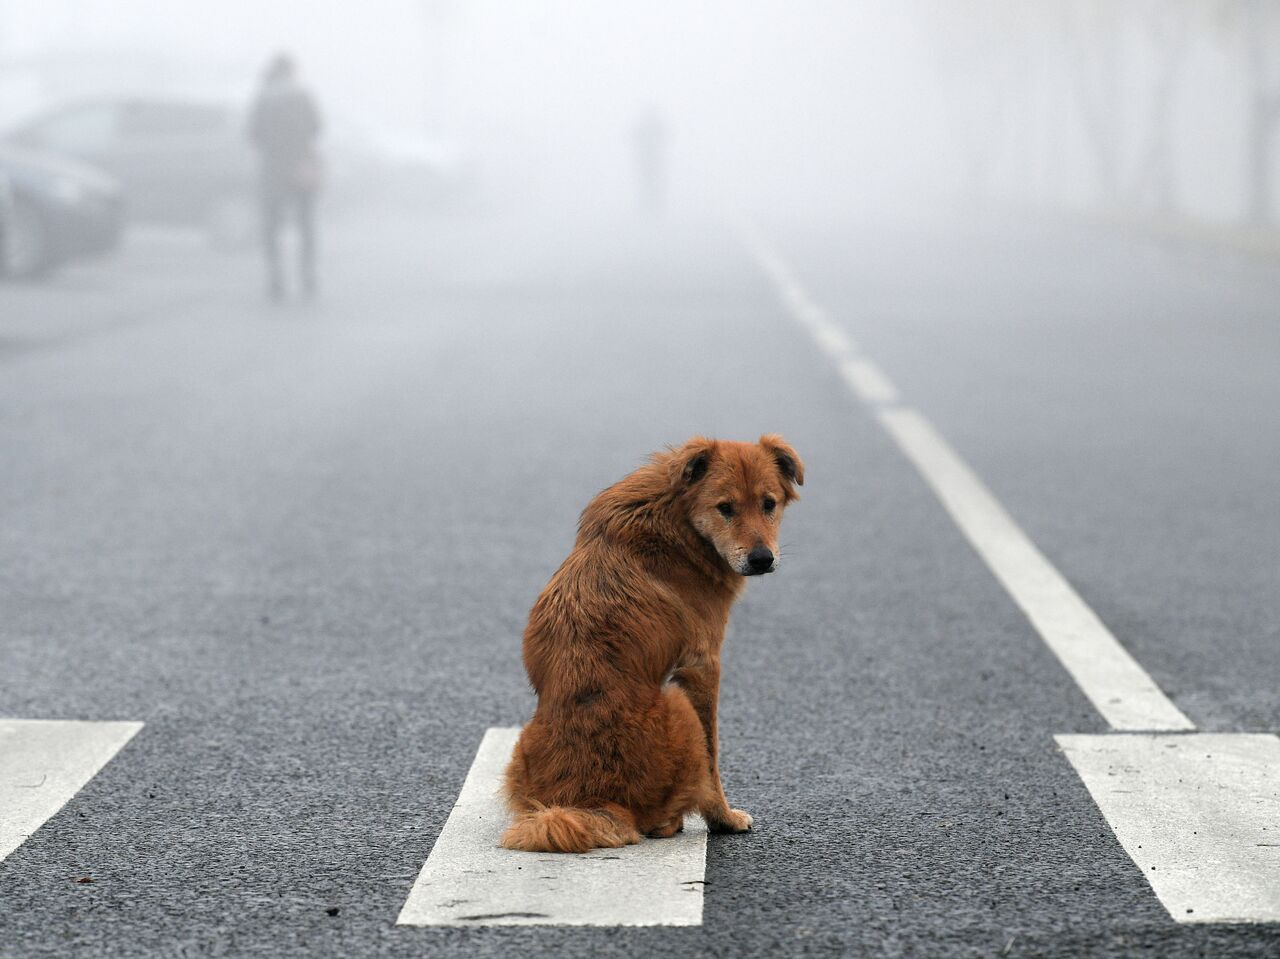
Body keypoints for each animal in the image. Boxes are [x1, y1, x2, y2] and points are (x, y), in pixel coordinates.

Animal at [499, 432, 798, 855]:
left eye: (769, 504)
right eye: (725, 508)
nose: (761, 559)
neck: (677, 518)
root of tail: (593, 800)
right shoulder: (702, 665)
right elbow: (714, 759)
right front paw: (723, 819)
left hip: (522, 748)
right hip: (678, 704)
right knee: (664, 811)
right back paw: (672, 822)